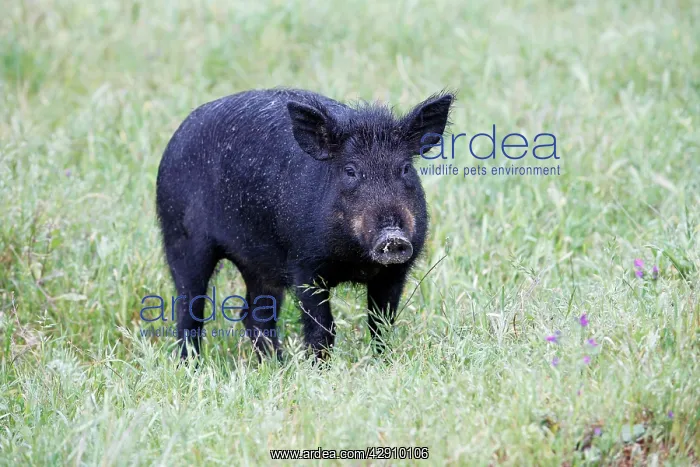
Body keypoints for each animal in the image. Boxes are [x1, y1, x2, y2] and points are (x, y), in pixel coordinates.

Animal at [156, 88, 454, 361]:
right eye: (350, 171)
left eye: (405, 169)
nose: (392, 237)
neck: (355, 260)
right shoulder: (304, 266)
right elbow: (323, 328)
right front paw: (320, 368)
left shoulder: (395, 272)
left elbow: (381, 325)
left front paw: (384, 362)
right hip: (180, 238)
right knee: (189, 310)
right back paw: (192, 365)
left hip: (259, 266)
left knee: (254, 316)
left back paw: (277, 364)